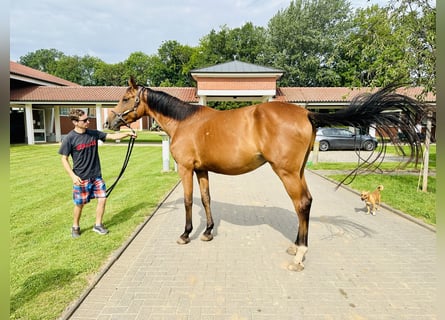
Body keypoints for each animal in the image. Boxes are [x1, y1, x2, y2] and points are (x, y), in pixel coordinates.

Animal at [106, 77, 424, 270]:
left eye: (125, 98)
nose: (110, 122)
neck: (186, 122)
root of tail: (307, 112)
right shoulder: (202, 170)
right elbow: (206, 199)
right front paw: (207, 232)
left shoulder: (186, 169)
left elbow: (186, 202)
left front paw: (186, 234)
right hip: (298, 170)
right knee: (306, 203)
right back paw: (295, 246)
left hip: (286, 172)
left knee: (301, 203)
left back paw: (300, 254)